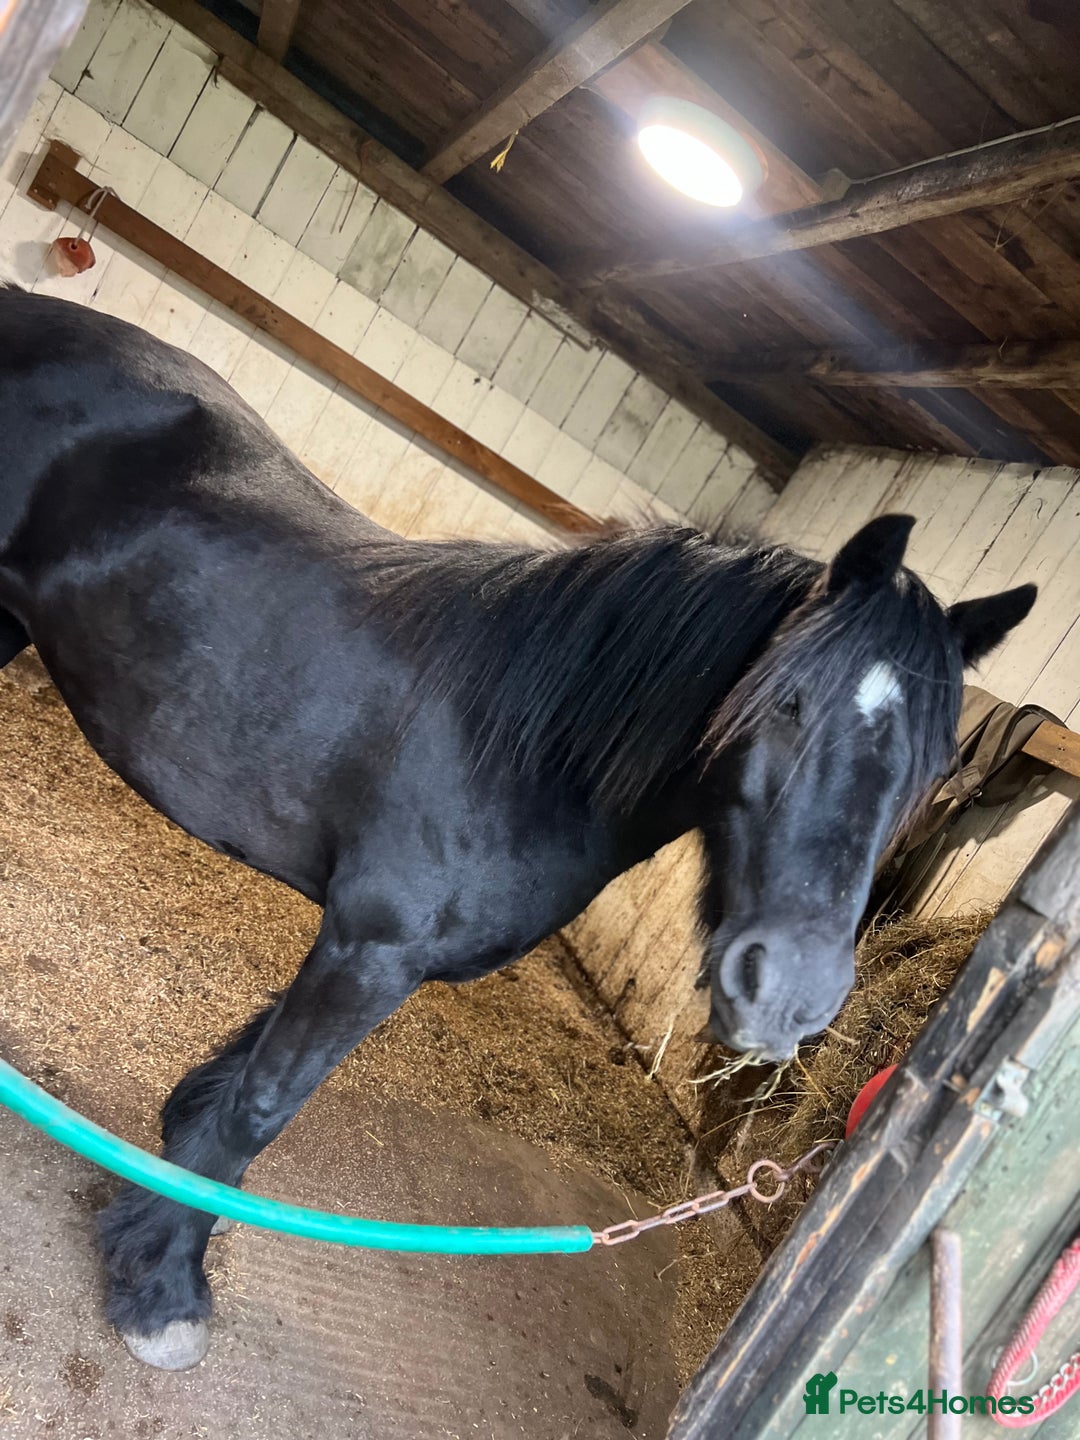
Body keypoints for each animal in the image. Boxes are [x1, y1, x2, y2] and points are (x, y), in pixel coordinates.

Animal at [0, 289, 1034, 1370]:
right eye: (789, 704)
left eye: (929, 767)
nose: (789, 994)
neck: (522, 750)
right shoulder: (369, 950)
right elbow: (259, 1106)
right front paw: (161, 1291)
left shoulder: (356, 949)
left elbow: (231, 1093)